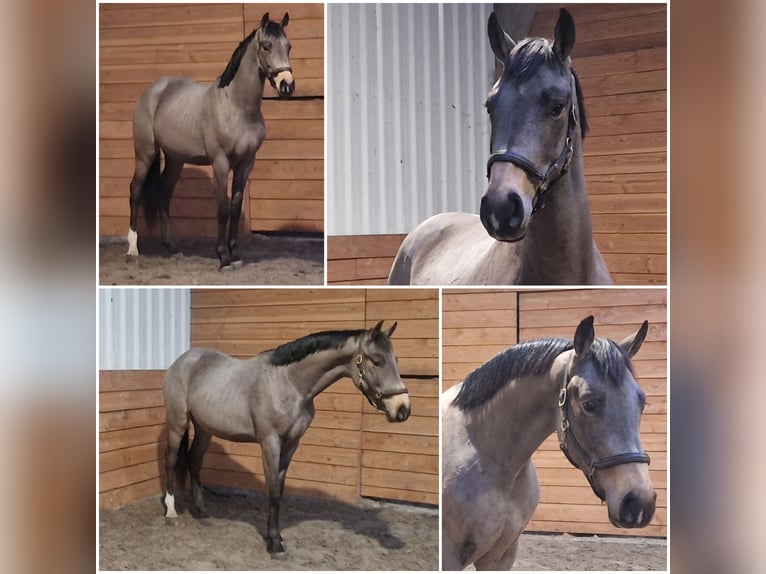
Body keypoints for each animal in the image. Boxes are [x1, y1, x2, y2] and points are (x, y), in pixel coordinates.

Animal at [126, 12, 295, 270]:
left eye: (289, 46)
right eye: (266, 46)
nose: (287, 85)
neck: (236, 106)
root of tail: (153, 91)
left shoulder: (246, 163)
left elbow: (235, 207)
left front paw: (235, 254)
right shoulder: (221, 163)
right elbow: (223, 208)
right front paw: (223, 257)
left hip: (175, 158)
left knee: (164, 192)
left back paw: (172, 247)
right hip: (145, 153)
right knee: (135, 190)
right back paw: (133, 248)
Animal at [162, 321, 411, 558]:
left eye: (396, 359)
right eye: (377, 360)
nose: (402, 409)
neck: (290, 383)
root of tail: (181, 361)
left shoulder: (291, 444)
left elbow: (280, 490)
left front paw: (276, 536)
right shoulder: (270, 442)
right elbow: (272, 490)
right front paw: (274, 545)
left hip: (205, 428)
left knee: (194, 461)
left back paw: (202, 513)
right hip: (178, 423)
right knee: (171, 460)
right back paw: (171, 511)